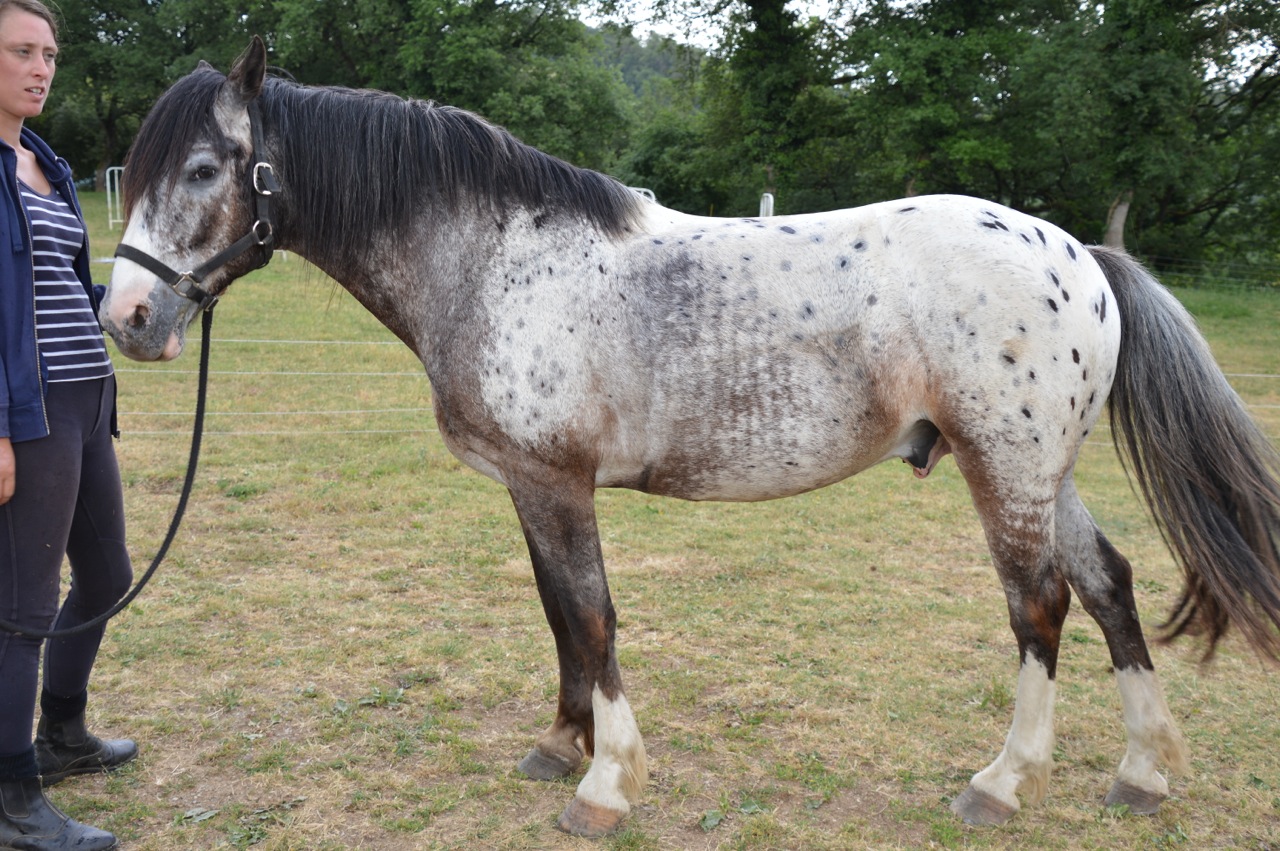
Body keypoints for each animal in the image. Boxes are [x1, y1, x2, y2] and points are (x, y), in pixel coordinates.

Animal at [100, 37, 1280, 837]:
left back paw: (1003, 780)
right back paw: (1142, 771)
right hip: (1045, 470)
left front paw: (606, 781)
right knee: (1109, 583)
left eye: (204, 169)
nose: (129, 319)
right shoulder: (528, 486)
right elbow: (560, 616)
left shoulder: (557, 481)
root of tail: (1078, 251)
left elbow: (593, 616)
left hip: (1006, 469)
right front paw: (560, 741)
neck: (493, 258)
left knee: (1038, 605)